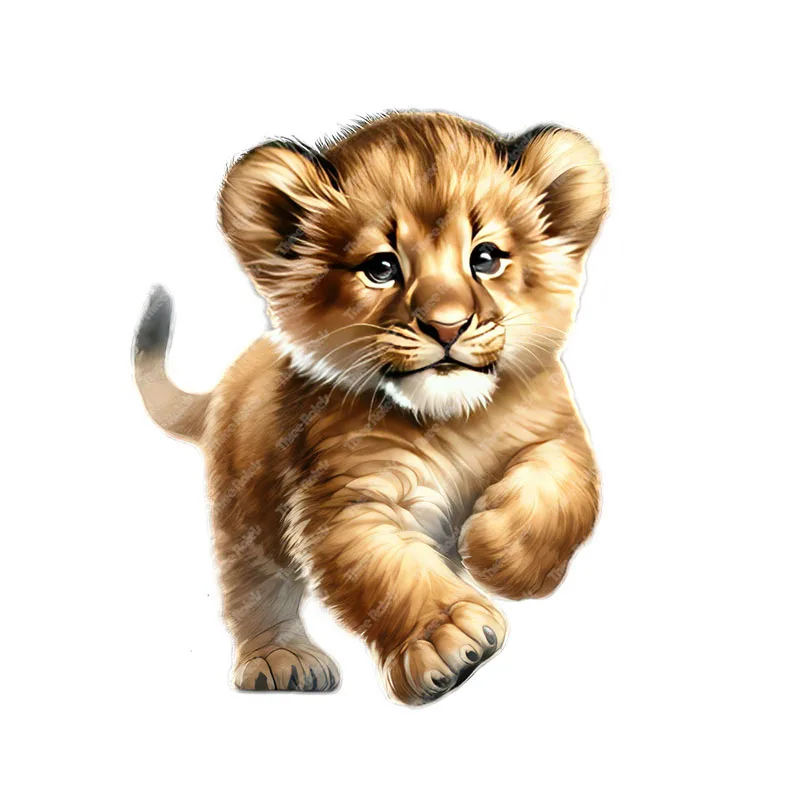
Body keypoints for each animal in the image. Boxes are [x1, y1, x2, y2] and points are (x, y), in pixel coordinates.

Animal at [134, 111, 608, 704]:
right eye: (381, 267)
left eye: (485, 258)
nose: (447, 326)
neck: (455, 422)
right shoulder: (347, 496)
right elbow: (385, 570)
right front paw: (448, 638)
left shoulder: (557, 432)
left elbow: (565, 492)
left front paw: (502, 556)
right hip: (244, 514)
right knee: (253, 588)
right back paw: (279, 658)